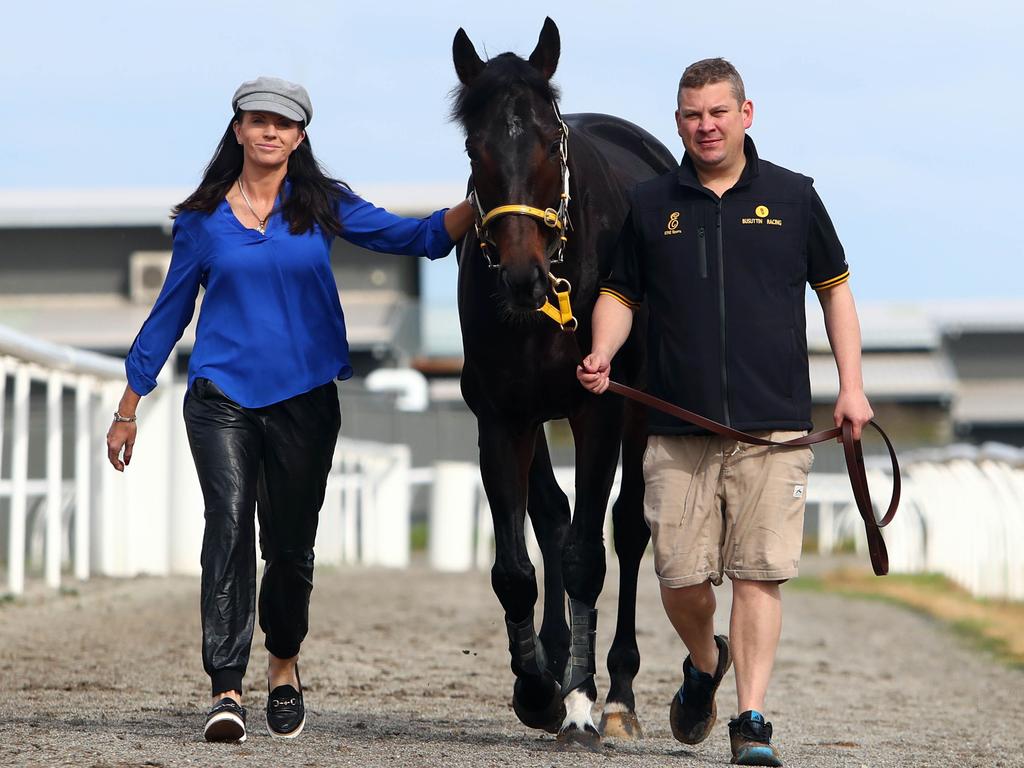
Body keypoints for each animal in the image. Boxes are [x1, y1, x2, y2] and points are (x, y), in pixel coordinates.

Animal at [450, 19, 675, 745]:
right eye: (476, 146)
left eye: (552, 141)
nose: (523, 277)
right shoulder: (501, 415)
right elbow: (516, 568)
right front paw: (538, 689)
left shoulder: (597, 410)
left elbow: (586, 555)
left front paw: (578, 699)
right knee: (551, 516)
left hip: (641, 408)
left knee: (627, 529)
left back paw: (619, 693)